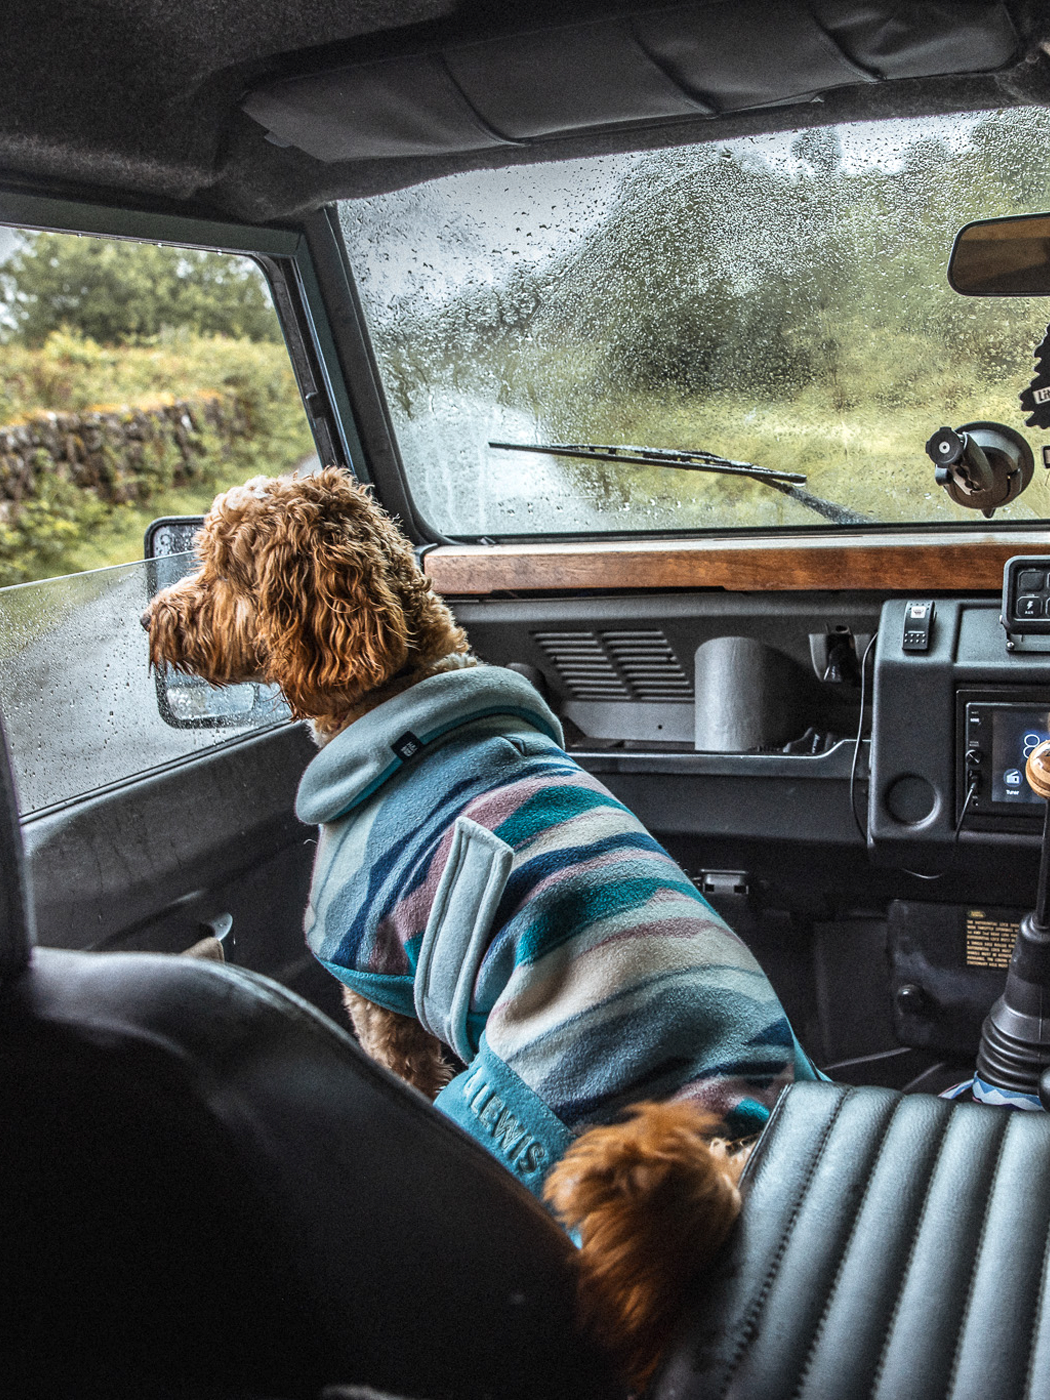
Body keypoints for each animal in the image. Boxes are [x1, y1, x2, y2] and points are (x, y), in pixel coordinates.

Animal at [144, 467, 750, 1388]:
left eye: (220, 569)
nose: (148, 620)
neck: (402, 696)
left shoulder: (371, 988)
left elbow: (398, 1064)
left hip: (496, 1112)